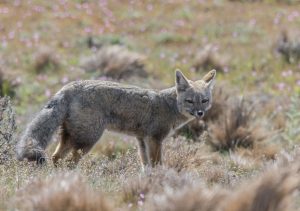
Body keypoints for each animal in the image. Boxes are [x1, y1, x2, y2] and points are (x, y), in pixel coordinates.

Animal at [16, 70, 216, 167]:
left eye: (204, 101)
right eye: (190, 101)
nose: (200, 113)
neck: (169, 104)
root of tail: (69, 87)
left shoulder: (142, 140)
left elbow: (146, 167)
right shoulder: (155, 139)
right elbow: (157, 165)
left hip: (72, 138)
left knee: (56, 158)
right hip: (87, 140)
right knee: (69, 162)